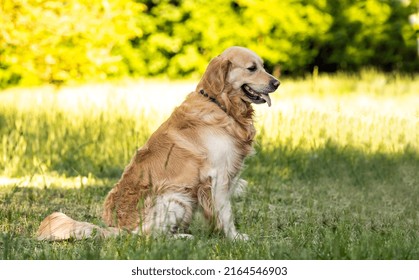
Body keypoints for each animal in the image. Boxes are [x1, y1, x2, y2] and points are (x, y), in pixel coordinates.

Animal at [37, 46, 280, 241]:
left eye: (263, 66)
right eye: (251, 68)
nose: (276, 82)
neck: (220, 105)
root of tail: (118, 229)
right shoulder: (217, 176)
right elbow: (226, 212)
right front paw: (235, 237)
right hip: (176, 197)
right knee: (151, 236)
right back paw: (182, 237)